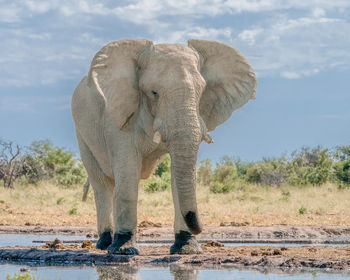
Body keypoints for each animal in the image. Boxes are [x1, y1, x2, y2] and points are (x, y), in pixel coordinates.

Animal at [71, 38, 258, 255]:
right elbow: (128, 171)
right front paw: (124, 250)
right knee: (102, 183)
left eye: (201, 92)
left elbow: (178, 173)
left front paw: (186, 248)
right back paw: (105, 243)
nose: (201, 228)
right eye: (154, 92)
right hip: (81, 131)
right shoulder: (119, 113)